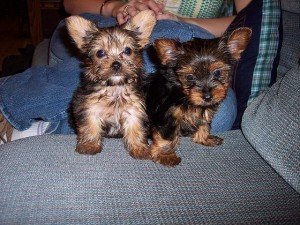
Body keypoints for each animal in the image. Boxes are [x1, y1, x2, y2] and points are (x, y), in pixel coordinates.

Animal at [64, 10, 156, 158]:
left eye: (128, 50)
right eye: (100, 53)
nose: (116, 64)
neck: (114, 88)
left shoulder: (134, 110)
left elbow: (136, 128)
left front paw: (139, 148)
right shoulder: (90, 108)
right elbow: (90, 127)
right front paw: (89, 145)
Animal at [144, 27, 252, 166]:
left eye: (217, 72)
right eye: (190, 77)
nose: (207, 97)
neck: (182, 93)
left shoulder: (204, 110)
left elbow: (204, 124)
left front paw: (204, 139)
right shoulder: (166, 115)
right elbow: (166, 137)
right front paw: (166, 155)